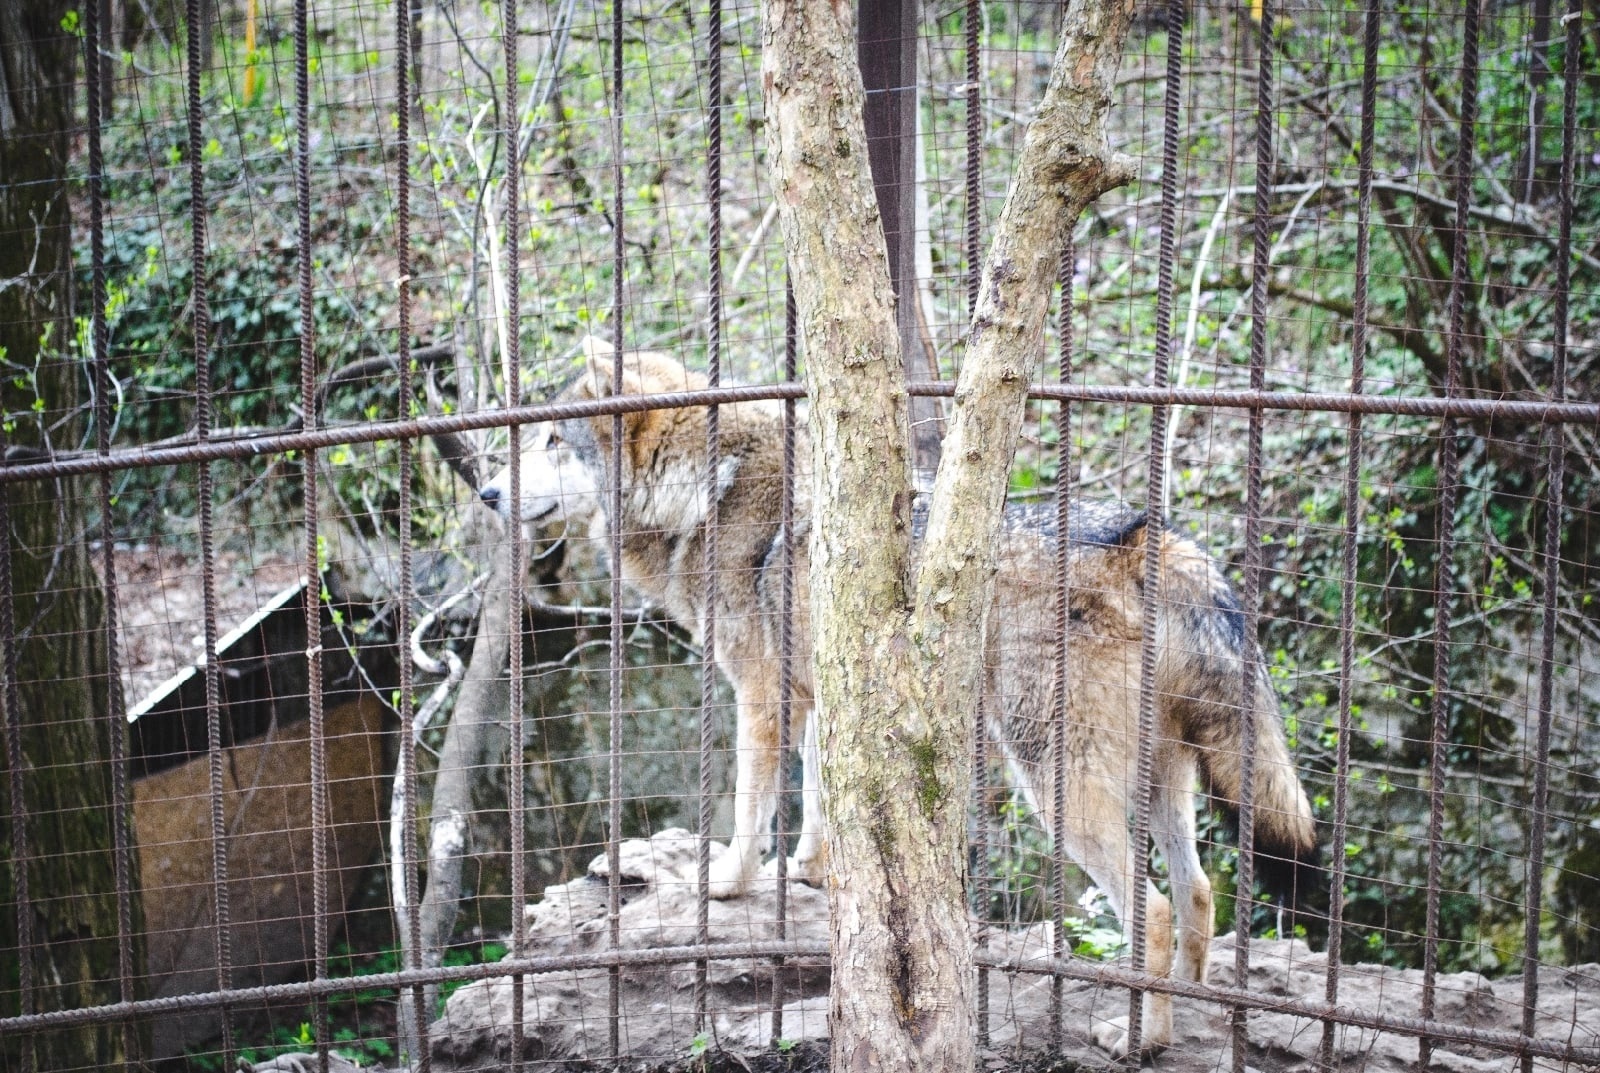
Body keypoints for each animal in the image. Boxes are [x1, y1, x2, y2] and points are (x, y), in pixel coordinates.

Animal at [480, 337, 1318, 1055]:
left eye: (552, 441)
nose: (486, 492)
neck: (703, 491)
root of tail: (1152, 539)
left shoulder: (761, 692)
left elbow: (750, 806)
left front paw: (726, 882)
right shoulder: (823, 694)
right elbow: (819, 796)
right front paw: (812, 869)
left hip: (1055, 785)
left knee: (1158, 909)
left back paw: (1140, 1037)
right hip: (1160, 780)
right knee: (1200, 893)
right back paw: (1187, 1018)